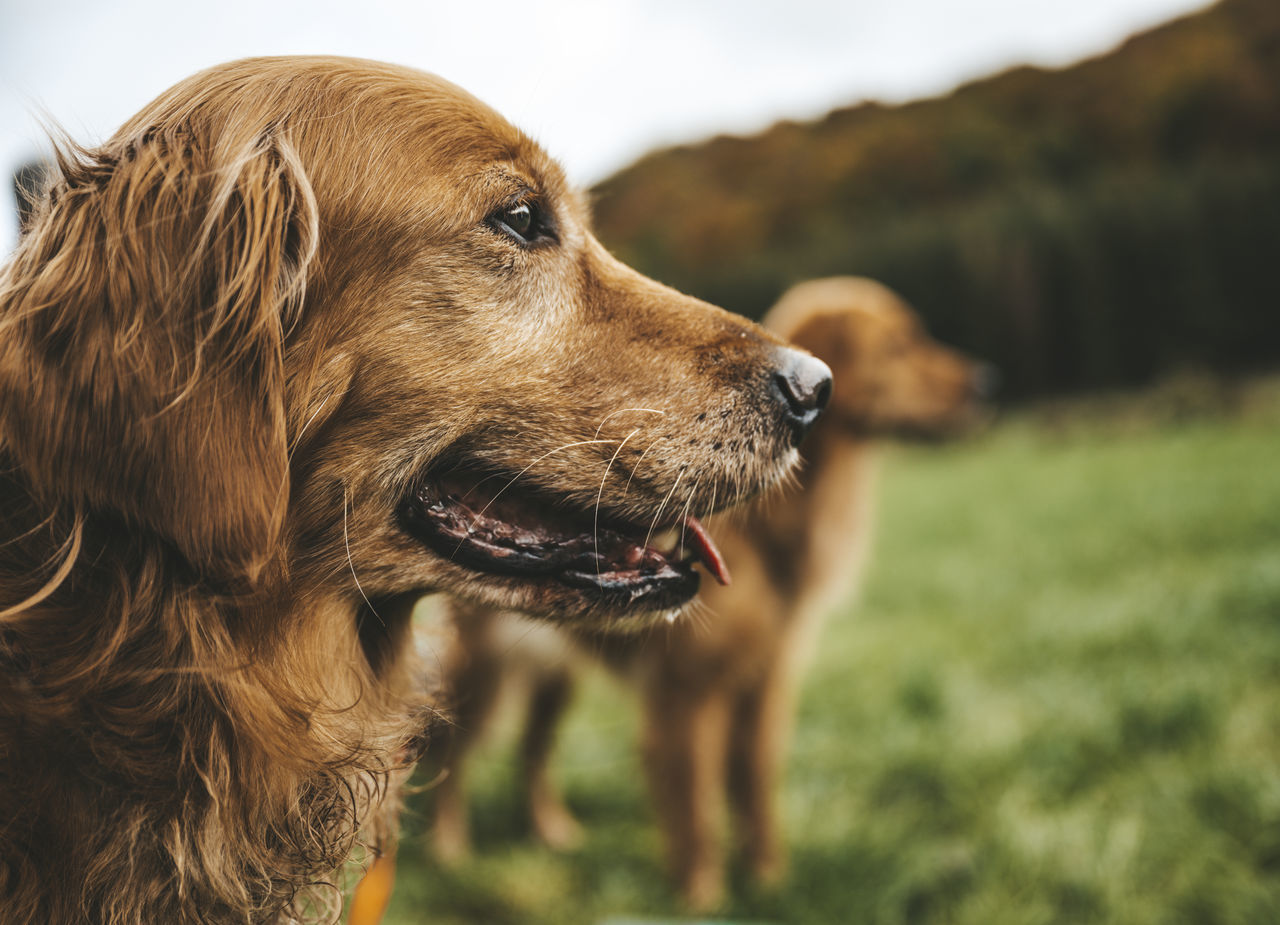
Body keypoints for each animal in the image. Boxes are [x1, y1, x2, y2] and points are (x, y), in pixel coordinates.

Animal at [430, 276, 988, 910]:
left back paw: (550, 830)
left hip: (556, 669)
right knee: (451, 754)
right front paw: (703, 899)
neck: (777, 524)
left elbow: (755, 788)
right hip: (479, 667)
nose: (985, 381)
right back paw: (448, 847)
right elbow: (696, 805)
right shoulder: (688, 692)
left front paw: (769, 882)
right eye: (899, 346)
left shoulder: (765, 682)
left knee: (533, 748)